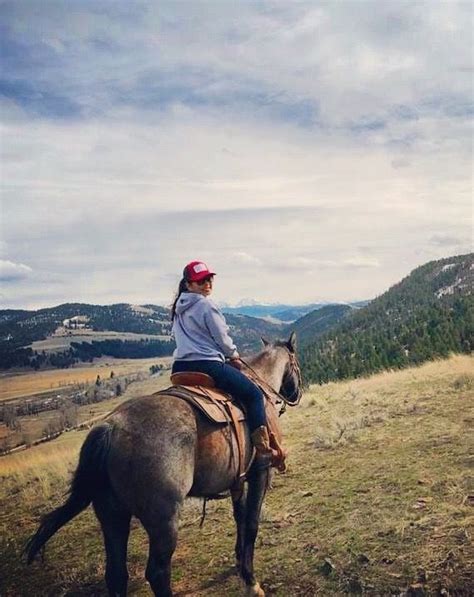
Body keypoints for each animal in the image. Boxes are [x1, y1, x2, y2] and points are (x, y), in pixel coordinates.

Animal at [25, 332, 304, 592]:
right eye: (297, 364)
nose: (296, 394)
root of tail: (110, 428)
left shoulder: (239, 479)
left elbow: (240, 518)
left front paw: (238, 564)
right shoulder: (261, 471)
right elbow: (252, 523)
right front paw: (251, 580)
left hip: (112, 515)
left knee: (116, 574)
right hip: (163, 519)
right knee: (157, 572)